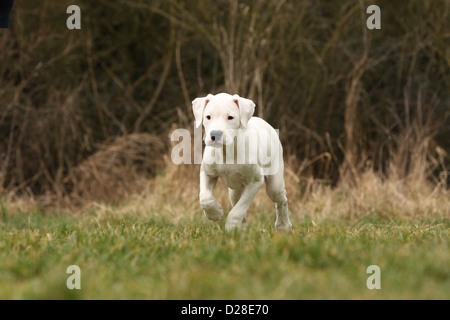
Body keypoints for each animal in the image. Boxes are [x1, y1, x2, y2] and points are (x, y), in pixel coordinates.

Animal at [192, 93, 292, 232]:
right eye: (208, 117)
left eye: (230, 117)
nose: (215, 134)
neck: (227, 151)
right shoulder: (207, 173)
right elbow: (205, 198)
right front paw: (214, 213)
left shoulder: (255, 182)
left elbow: (238, 210)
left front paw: (231, 226)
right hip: (234, 191)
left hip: (274, 185)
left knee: (282, 200)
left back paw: (283, 226)